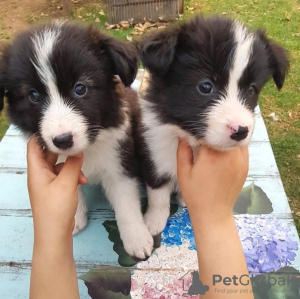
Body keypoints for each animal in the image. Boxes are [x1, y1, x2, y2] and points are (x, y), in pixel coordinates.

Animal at [0, 21, 154, 260]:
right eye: (33, 95)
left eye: (80, 88)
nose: (62, 140)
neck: (88, 147)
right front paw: (72, 219)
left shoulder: (119, 161)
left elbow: (126, 204)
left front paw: (136, 238)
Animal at [138, 15, 288, 237]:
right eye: (205, 86)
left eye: (252, 89)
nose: (241, 131)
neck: (192, 139)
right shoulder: (155, 154)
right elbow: (158, 193)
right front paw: (153, 221)